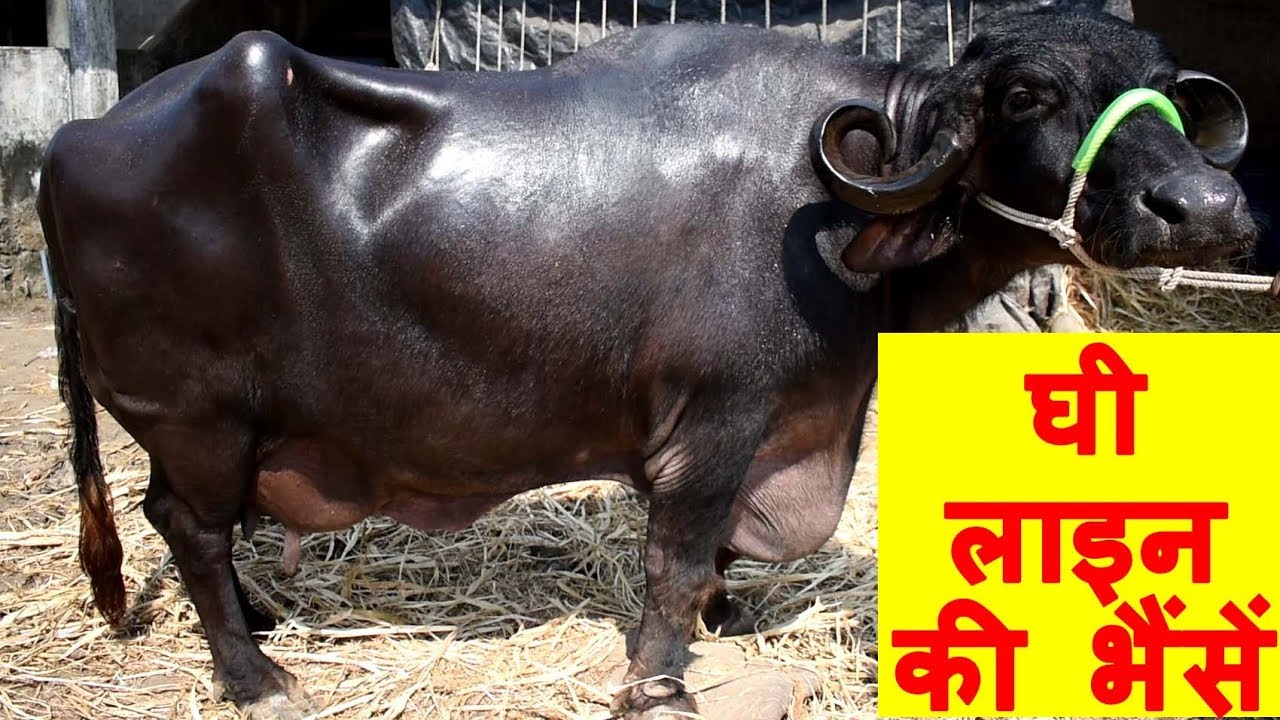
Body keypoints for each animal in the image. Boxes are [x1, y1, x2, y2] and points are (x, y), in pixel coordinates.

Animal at [37, 5, 1254, 718]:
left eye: (1162, 84)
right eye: (1026, 94)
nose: (1203, 208)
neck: (834, 213)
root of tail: (69, 144)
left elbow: (716, 558)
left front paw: (724, 618)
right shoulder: (713, 423)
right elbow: (674, 559)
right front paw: (661, 682)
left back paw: (261, 622)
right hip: (196, 414)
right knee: (187, 526)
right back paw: (254, 676)